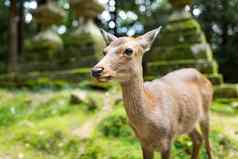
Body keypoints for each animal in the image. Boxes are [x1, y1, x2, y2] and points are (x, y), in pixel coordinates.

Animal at [91, 27, 214, 159]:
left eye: (129, 50)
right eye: (104, 51)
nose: (96, 70)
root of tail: (204, 76)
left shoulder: (168, 140)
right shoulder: (144, 144)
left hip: (206, 111)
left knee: (208, 143)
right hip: (189, 122)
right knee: (198, 139)